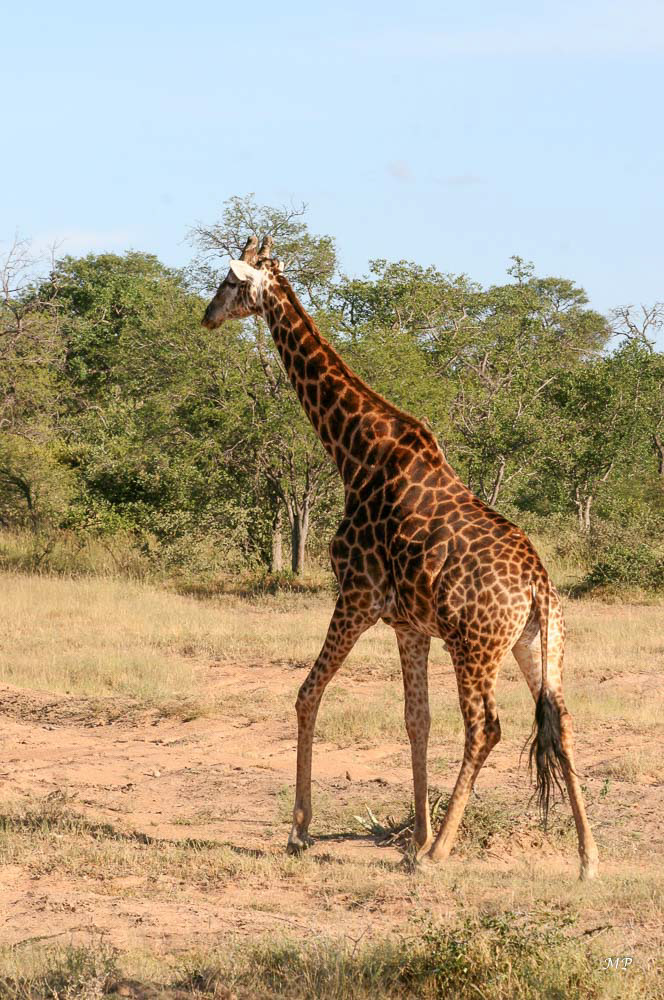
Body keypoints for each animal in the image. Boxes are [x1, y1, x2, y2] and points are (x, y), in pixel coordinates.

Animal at [202, 235, 599, 880]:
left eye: (231, 282)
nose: (207, 316)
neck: (354, 453)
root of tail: (539, 586)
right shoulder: (408, 624)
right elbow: (417, 722)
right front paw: (415, 834)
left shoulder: (357, 596)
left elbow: (307, 694)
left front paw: (301, 831)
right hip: (538, 644)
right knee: (560, 722)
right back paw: (588, 859)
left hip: (474, 646)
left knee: (484, 727)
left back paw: (440, 856)